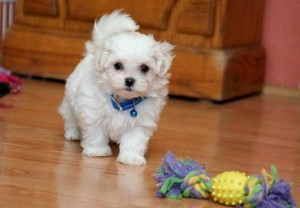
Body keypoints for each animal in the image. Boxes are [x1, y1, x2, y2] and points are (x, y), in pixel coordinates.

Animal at [58, 10, 173, 166]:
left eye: (144, 68)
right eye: (117, 65)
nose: (129, 80)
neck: (122, 101)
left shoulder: (140, 122)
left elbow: (134, 141)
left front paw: (131, 157)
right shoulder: (93, 113)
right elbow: (96, 134)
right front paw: (97, 151)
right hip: (70, 101)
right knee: (70, 117)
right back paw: (73, 133)